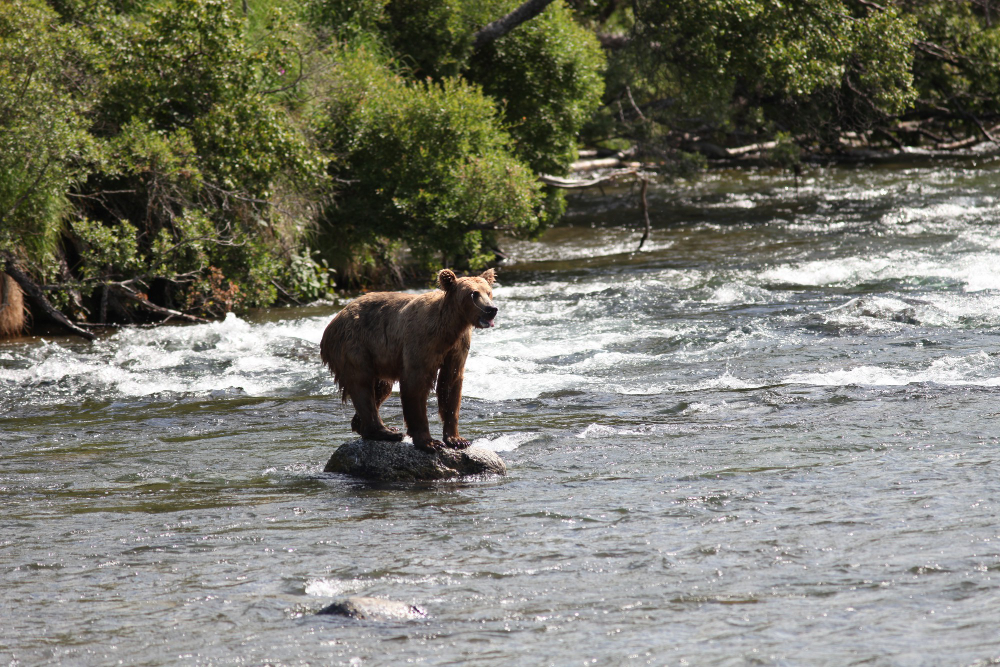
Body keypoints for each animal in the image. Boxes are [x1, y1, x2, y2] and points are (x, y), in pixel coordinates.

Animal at [320, 268, 498, 452]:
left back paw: (372, 426)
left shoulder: (458, 347)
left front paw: (457, 439)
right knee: (361, 384)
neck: (449, 328)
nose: (491, 309)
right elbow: (415, 384)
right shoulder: (420, 340)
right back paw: (385, 432)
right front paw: (430, 442)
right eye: (473, 293)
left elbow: (451, 383)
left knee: (381, 388)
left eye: (488, 292)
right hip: (354, 344)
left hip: (378, 358)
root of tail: (334, 319)